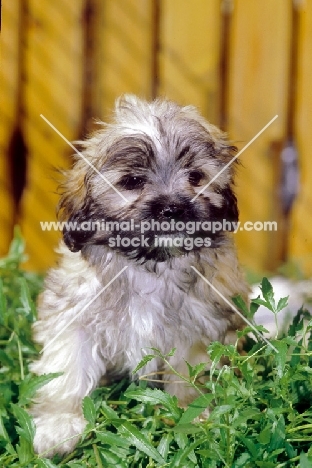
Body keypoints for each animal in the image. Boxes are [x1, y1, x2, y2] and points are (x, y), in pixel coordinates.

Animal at [28, 93, 249, 456]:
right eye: (132, 182)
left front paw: (193, 416)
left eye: (195, 177)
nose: (172, 208)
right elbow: (68, 370)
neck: (150, 266)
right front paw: (59, 424)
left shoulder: (200, 325)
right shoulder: (75, 317)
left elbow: (189, 375)